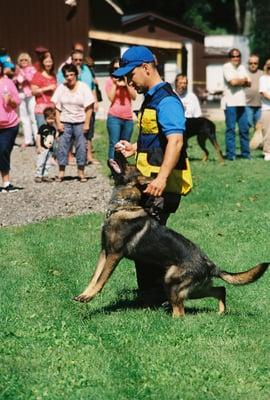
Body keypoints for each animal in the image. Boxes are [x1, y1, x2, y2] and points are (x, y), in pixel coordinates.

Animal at [74, 155, 268, 318]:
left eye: (130, 165)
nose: (118, 150)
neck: (124, 206)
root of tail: (210, 264)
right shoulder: (104, 252)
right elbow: (94, 276)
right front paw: (85, 294)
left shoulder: (114, 255)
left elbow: (102, 279)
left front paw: (90, 297)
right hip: (195, 289)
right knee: (220, 290)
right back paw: (220, 312)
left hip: (172, 281)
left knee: (181, 312)